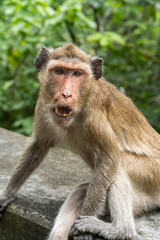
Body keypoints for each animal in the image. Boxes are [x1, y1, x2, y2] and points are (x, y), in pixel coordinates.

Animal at [0, 43, 160, 240]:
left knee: (120, 165)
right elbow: (38, 146)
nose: (66, 94)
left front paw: (84, 232)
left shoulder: (94, 116)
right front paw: (7, 194)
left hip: (152, 174)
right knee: (81, 191)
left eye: (77, 73)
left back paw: (120, 230)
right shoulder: (43, 105)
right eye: (59, 71)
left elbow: (109, 158)